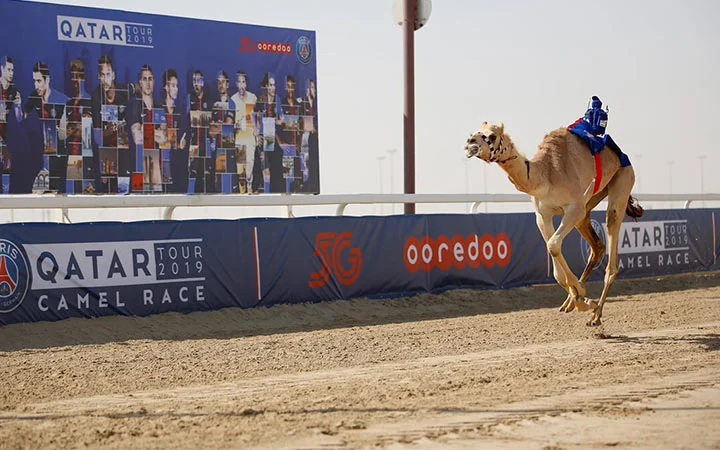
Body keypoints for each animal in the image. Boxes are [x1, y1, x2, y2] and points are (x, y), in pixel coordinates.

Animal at [464, 121, 643, 326]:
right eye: (475, 131)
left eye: (492, 136)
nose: (470, 142)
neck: (546, 174)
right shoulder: (543, 215)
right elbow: (555, 260)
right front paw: (580, 298)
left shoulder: (573, 208)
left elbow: (554, 245)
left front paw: (584, 299)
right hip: (591, 201)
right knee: (597, 246)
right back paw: (573, 303)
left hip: (623, 179)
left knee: (611, 230)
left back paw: (596, 315)